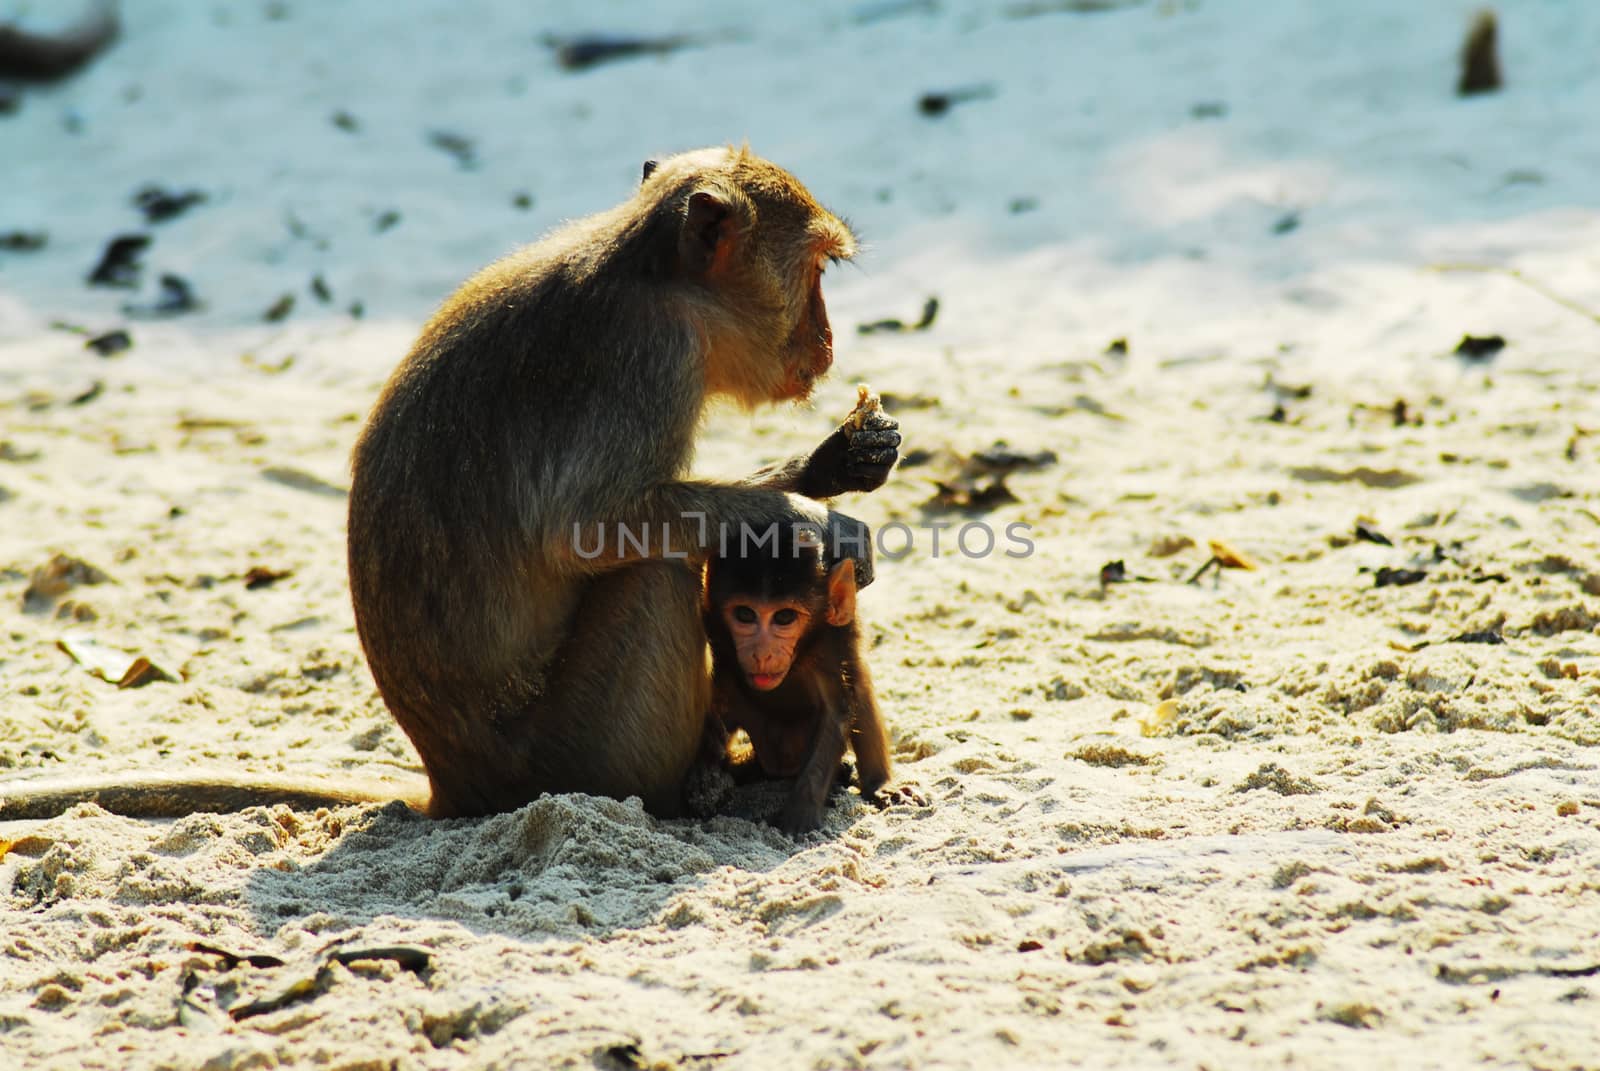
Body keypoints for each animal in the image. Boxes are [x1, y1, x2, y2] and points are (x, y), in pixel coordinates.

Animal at [707, 521, 896, 832]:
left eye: (784, 618)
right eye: (745, 614)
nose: (762, 654)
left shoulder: (831, 641)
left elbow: (836, 710)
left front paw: (801, 813)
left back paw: (878, 784)